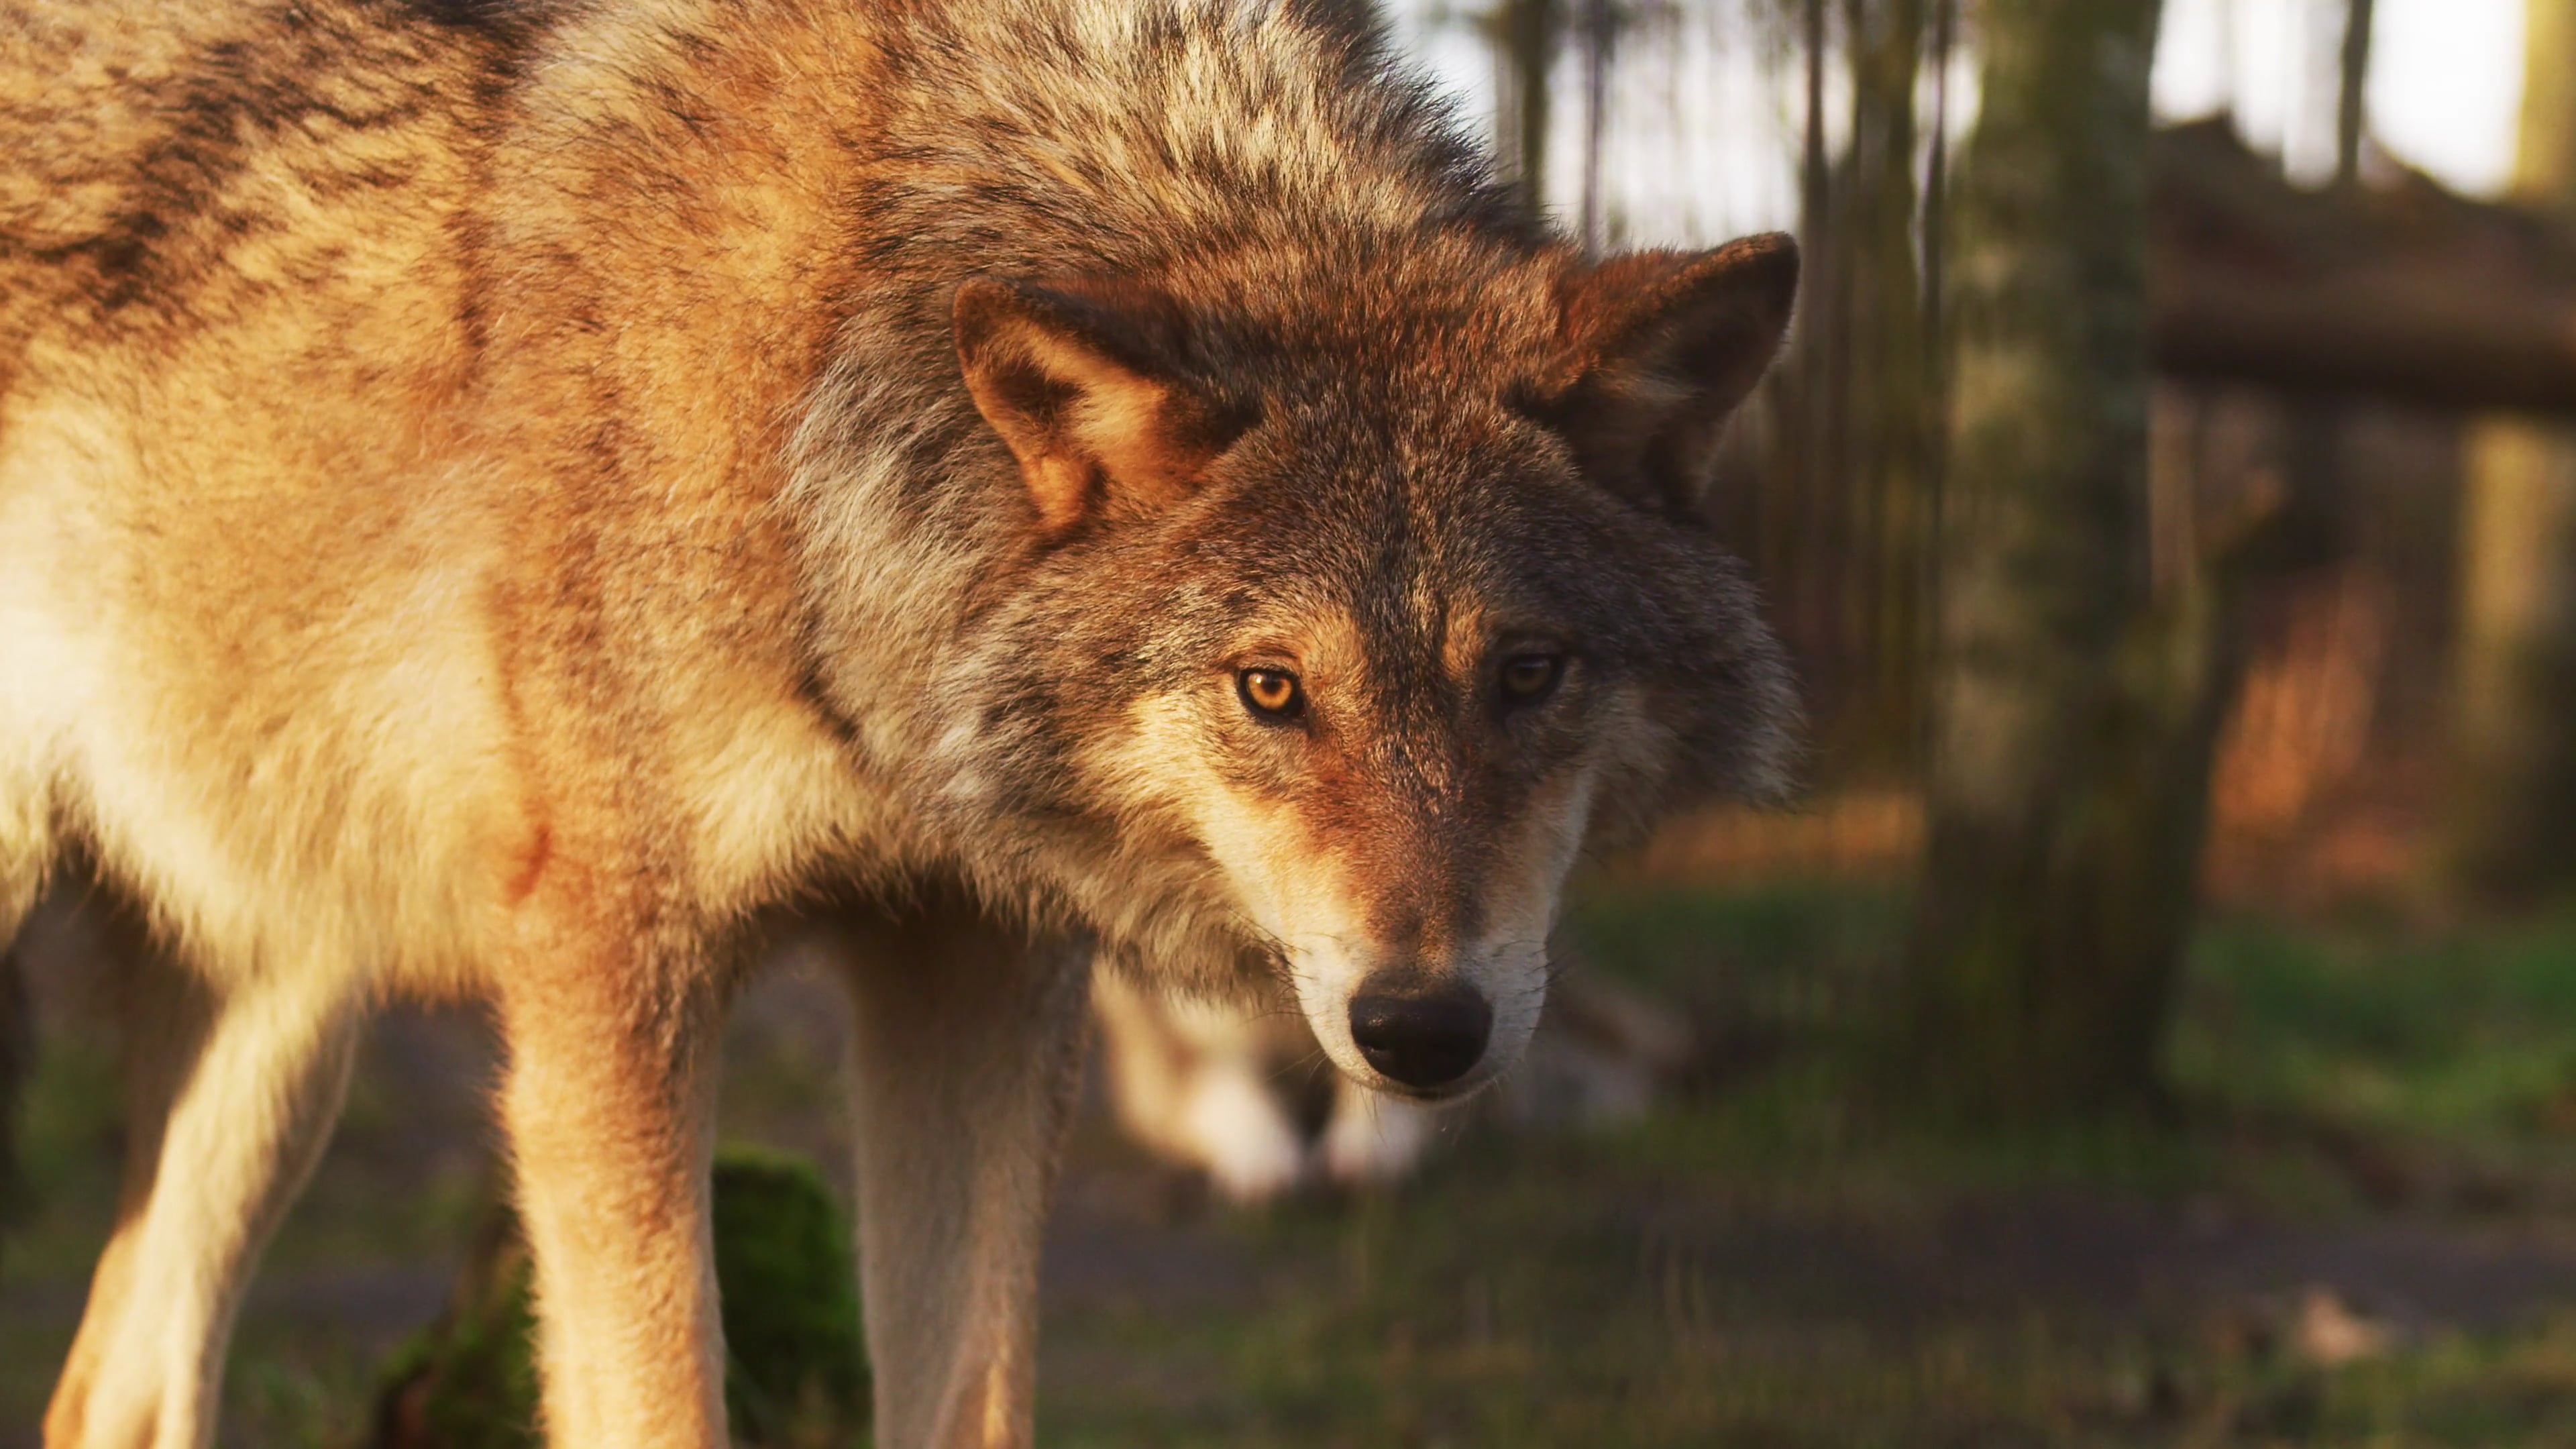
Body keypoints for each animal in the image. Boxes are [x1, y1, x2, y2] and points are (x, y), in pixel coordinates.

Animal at [0, 0, 1798, 1443]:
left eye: (1529, 673)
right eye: (1271, 688)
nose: (1422, 1028)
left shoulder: (974, 974)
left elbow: (973, 1397)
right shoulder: (608, 976)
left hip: (287, 1018)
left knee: (111, 1392)